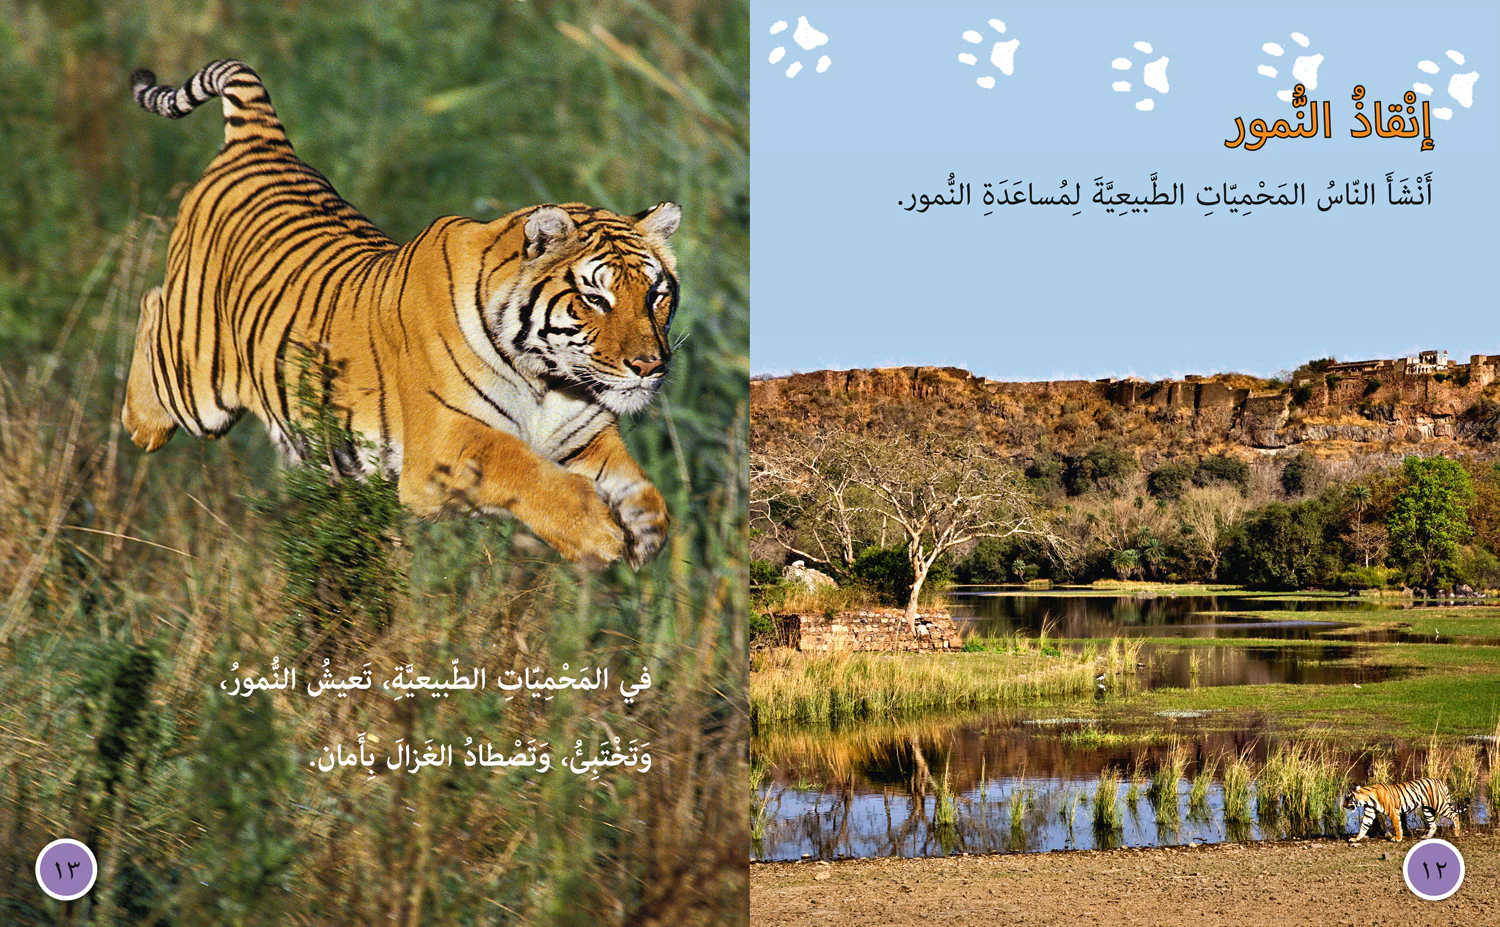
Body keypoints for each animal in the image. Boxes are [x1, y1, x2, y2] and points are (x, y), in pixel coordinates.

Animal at [122, 60, 680, 568]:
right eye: (595, 298)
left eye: (656, 294)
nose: (650, 366)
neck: (547, 379)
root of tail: (262, 143)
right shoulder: (444, 447)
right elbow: (520, 467)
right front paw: (595, 532)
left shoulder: (580, 439)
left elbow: (634, 482)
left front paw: (645, 531)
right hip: (197, 387)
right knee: (151, 304)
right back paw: (143, 423)